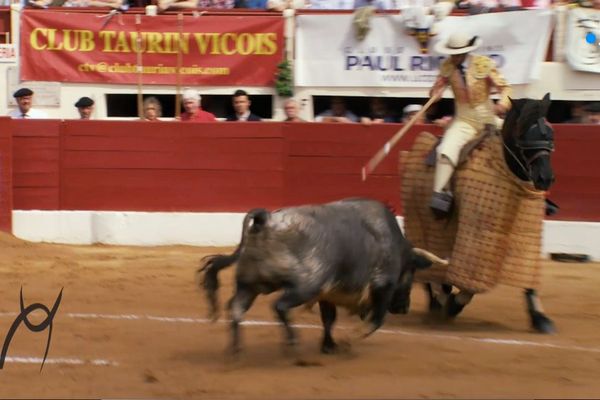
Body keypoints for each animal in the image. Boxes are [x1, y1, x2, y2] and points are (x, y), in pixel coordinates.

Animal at [198, 198, 446, 354]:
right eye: (411, 272)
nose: (404, 308)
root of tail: (265, 219)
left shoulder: (329, 293)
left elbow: (329, 319)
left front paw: (329, 346)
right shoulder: (382, 286)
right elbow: (376, 320)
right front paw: (349, 340)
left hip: (250, 285)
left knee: (236, 309)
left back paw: (236, 350)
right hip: (305, 286)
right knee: (279, 306)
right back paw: (292, 343)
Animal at [392, 92, 556, 332]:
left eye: (550, 134)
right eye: (522, 134)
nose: (545, 178)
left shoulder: (528, 234)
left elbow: (529, 277)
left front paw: (541, 318)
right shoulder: (476, 239)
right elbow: (470, 286)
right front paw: (452, 305)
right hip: (421, 223)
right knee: (429, 265)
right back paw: (438, 302)